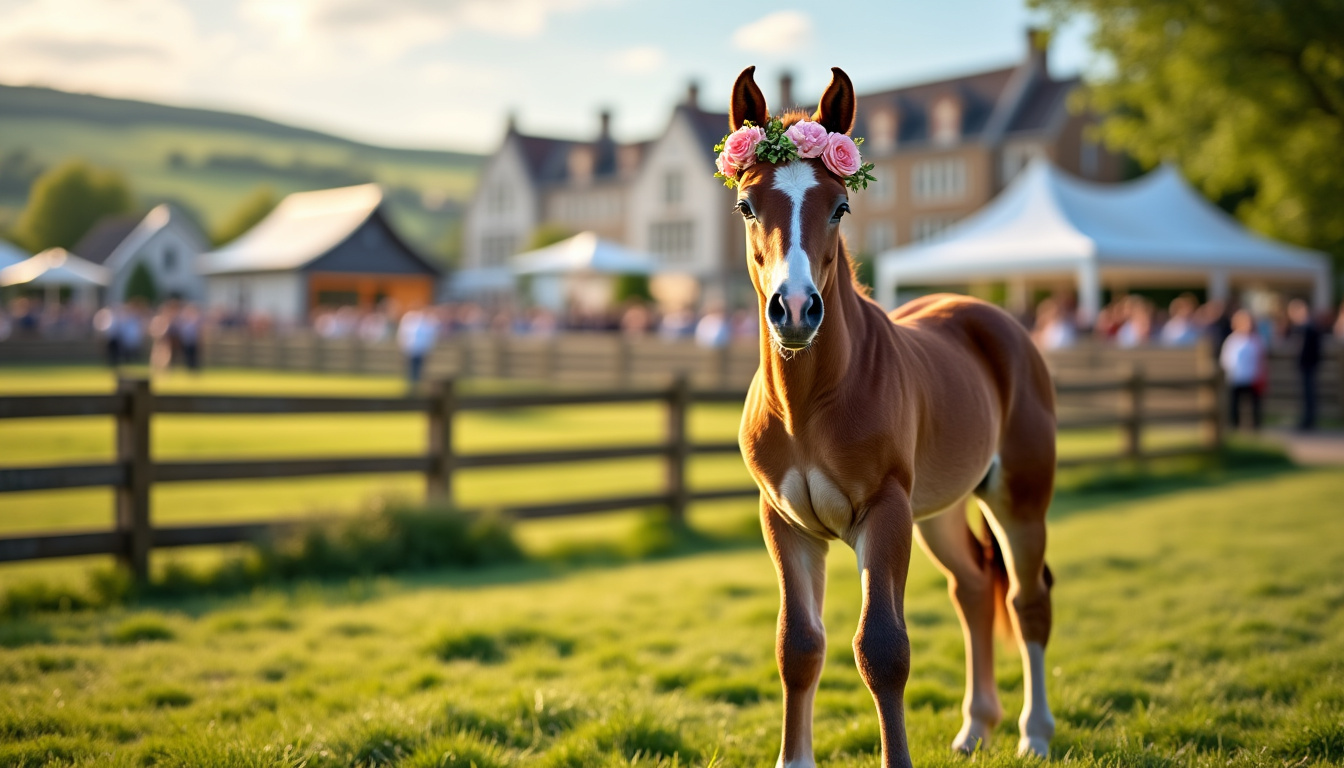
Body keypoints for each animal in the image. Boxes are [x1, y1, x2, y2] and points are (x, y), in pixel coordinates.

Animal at [729, 66, 1058, 767]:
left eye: (840, 207)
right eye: (746, 206)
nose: (794, 309)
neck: (810, 404)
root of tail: (988, 315)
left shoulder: (883, 513)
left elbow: (883, 649)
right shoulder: (785, 523)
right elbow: (799, 646)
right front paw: (793, 759)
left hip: (1018, 501)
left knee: (1027, 600)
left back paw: (1034, 733)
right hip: (938, 512)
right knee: (972, 591)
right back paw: (974, 728)